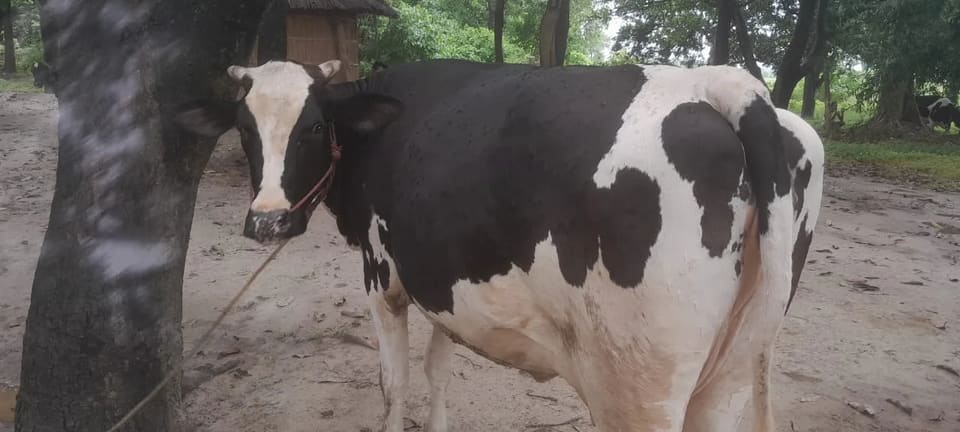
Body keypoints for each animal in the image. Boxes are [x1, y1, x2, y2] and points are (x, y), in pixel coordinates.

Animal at [175, 59, 824, 432]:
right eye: (244, 128)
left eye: (313, 127)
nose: (267, 223)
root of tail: (723, 81)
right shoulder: (443, 278)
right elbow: (438, 368)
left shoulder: (383, 276)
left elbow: (394, 382)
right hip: (732, 370)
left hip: (640, 384)